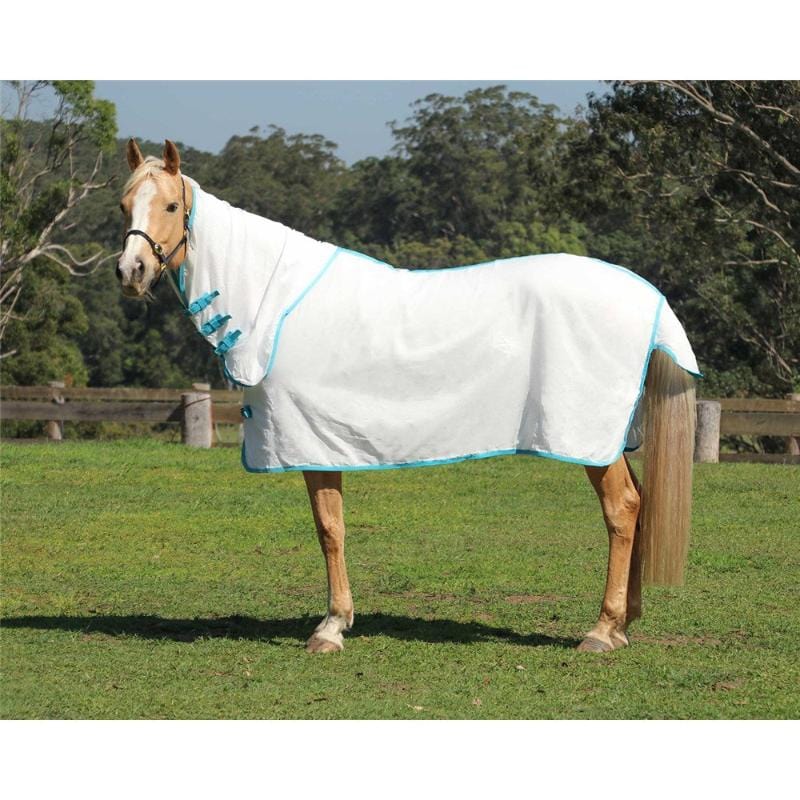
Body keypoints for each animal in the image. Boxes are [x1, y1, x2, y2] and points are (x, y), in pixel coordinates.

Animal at [117, 139, 698, 654]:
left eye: (171, 205)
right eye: (124, 205)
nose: (130, 272)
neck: (277, 303)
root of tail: (647, 295)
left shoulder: (308, 439)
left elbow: (329, 528)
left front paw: (331, 627)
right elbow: (332, 525)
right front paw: (338, 621)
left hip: (589, 434)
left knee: (622, 508)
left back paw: (602, 630)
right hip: (612, 436)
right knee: (639, 502)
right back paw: (624, 624)